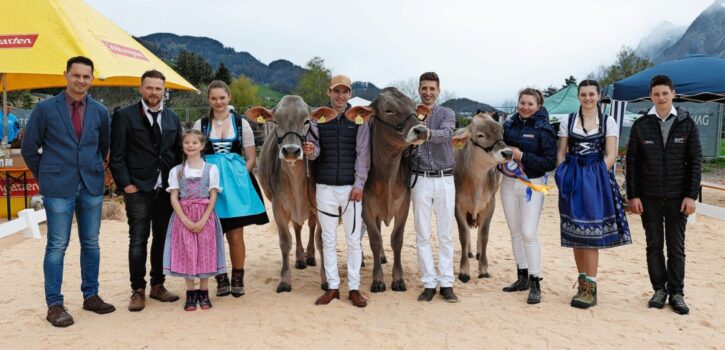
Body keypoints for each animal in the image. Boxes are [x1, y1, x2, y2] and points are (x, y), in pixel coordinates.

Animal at [246, 96, 336, 292]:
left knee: (310, 226)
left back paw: (310, 256)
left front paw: (326, 279)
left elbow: (321, 241)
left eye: (307, 121)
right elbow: (285, 241)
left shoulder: (320, 206)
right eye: (275, 121)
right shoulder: (278, 206)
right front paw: (285, 280)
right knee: (297, 228)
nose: (292, 151)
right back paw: (301, 258)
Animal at [346, 87, 430, 292]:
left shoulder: (403, 207)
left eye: (414, 107)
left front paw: (398, 279)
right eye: (388, 110)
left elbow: (396, 239)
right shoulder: (366, 209)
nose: (422, 130)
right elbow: (375, 240)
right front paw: (378, 280)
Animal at [452, 113, 516, 284]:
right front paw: (464, 271)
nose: (508, 153)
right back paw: (469, 252)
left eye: (501, 132)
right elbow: (463, 235)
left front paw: (484, 269)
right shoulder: (457, 205)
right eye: (480, 135)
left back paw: (478, 252)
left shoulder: (490, 204)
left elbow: (484, 234)